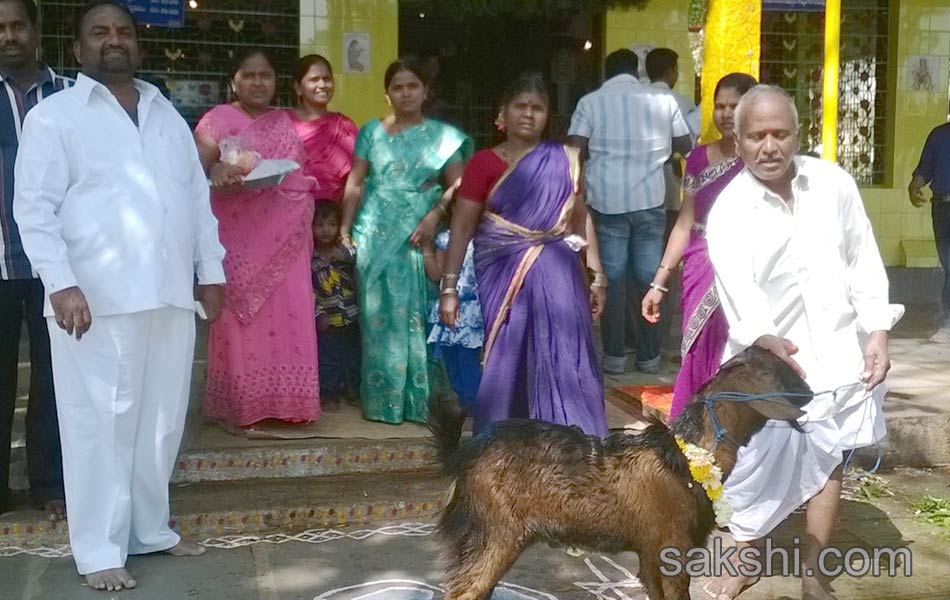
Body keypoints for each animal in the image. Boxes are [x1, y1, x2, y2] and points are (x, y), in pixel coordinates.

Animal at [432, 344, 820, 600]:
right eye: (779, 371)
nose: (811, 393)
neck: (686, 458)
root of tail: (463, 453)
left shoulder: (649, 552)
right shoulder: (673, 547)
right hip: (496, 533)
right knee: (465, 590)